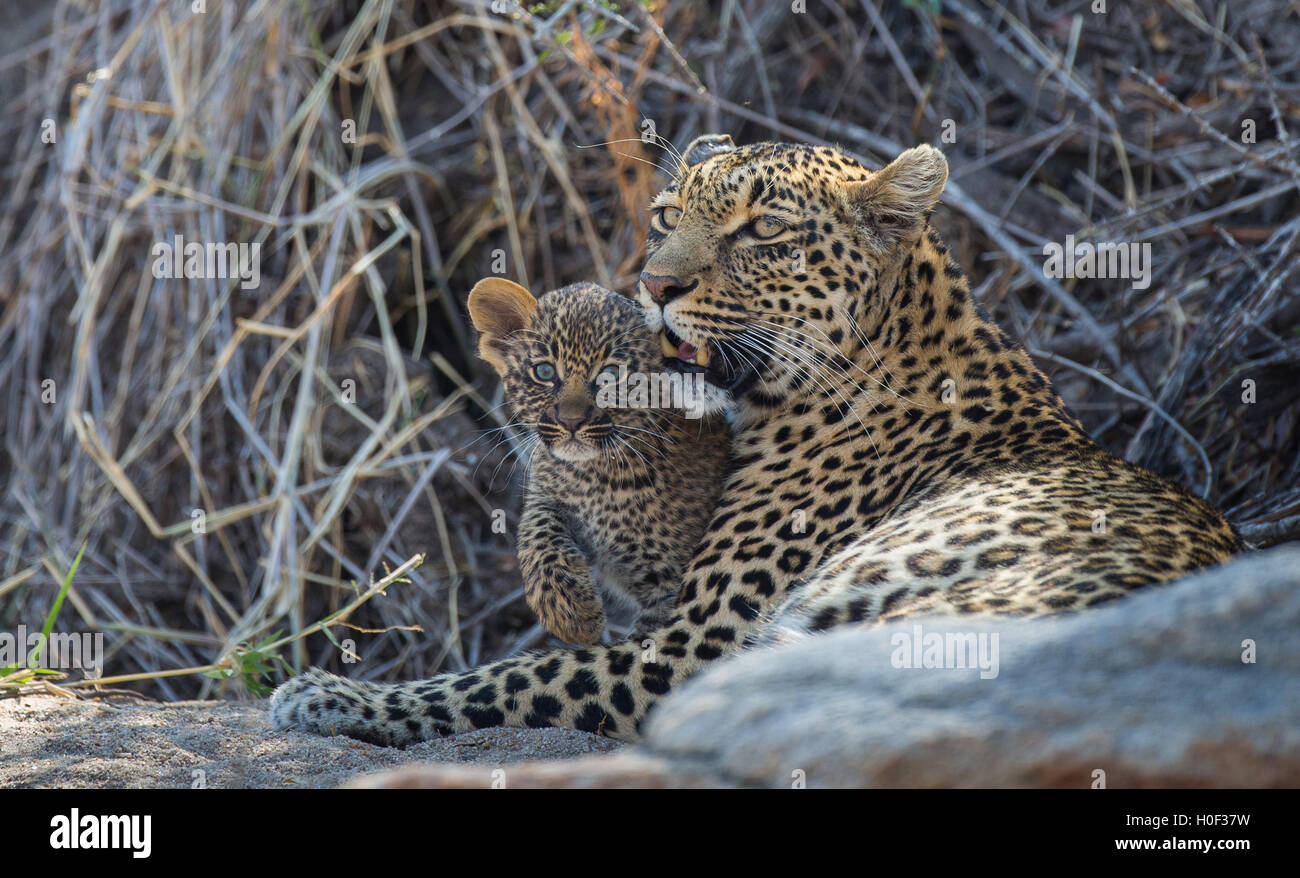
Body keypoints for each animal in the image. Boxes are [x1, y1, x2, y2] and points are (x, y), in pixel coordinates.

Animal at [466, 277, 730, 644]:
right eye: (544, 371)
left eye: (610, 375)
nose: (571, 422)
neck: (596, 477)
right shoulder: (548, 492)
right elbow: (536, 529)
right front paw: (572, 613)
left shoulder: (669, 586)